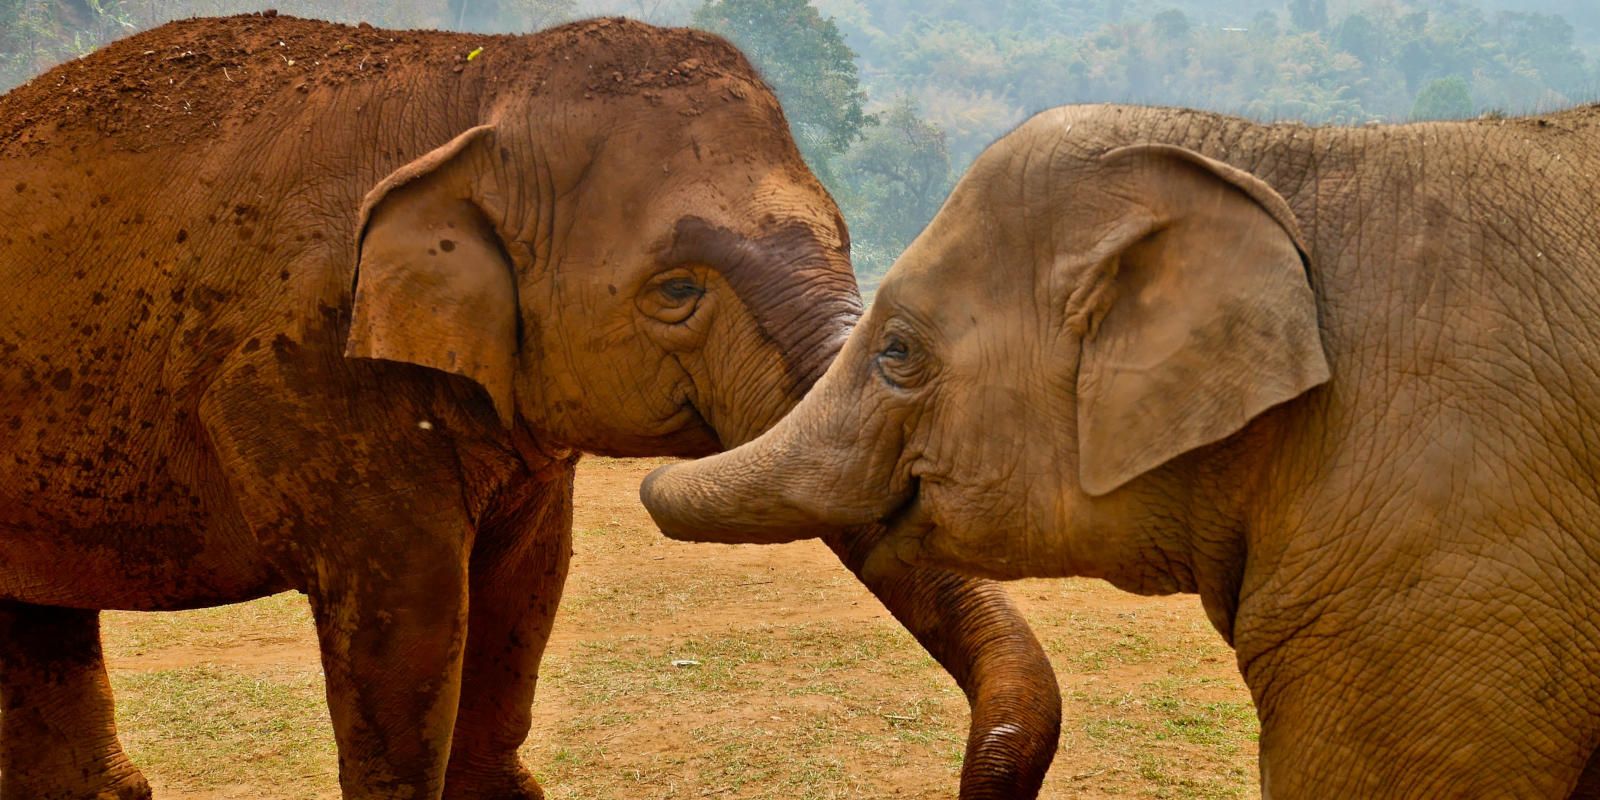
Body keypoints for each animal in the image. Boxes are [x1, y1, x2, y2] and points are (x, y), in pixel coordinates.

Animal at [0, 12, 1062, 800]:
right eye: (677, 291)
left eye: (841, 238)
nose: (967, 776)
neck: (478, 86)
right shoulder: (303, 369)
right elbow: (413, 615)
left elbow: (526, 584)